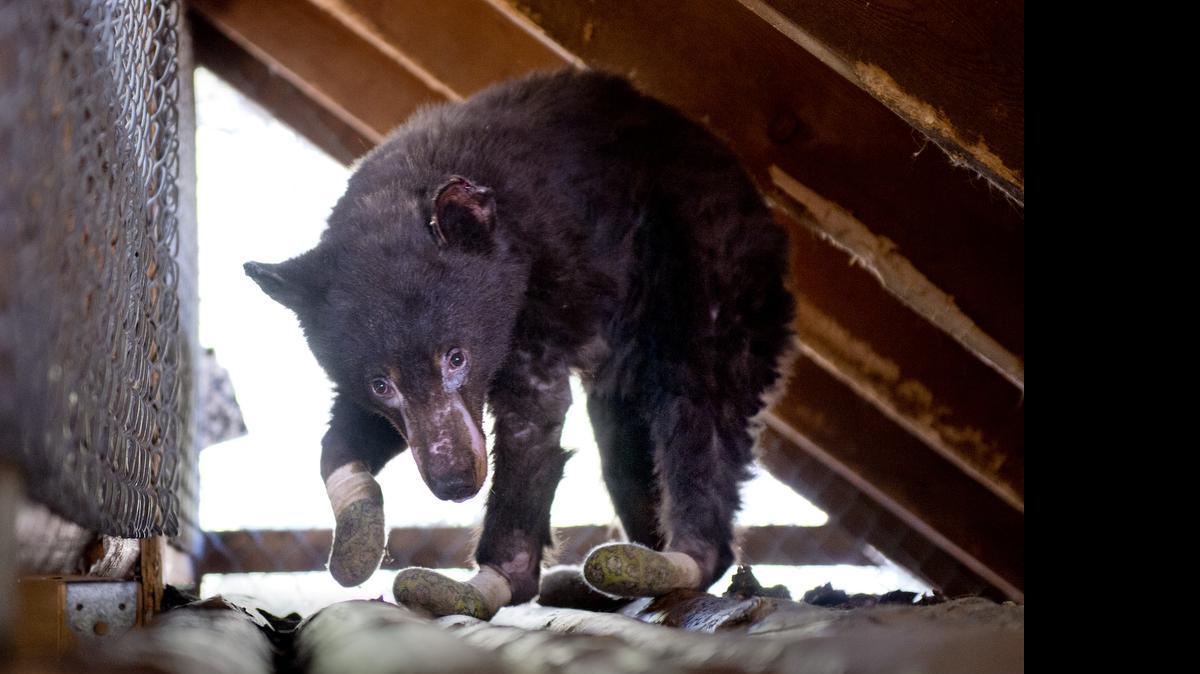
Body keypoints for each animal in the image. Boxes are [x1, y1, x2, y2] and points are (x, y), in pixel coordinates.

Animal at [244, 69, 795, 620]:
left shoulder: (544, 299)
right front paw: (357, 538)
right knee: (621, 440)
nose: (455, 483)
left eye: (457, 357)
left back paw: (671, 559)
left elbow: (532, 418)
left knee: (697, 405)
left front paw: (483, 581)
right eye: (381, 384)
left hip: (707, 276)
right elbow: (353, 432)